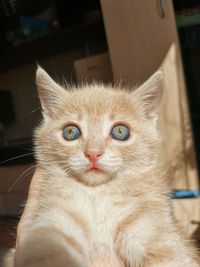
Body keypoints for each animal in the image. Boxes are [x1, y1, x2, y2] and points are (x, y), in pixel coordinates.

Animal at [12, 67, 198, 267]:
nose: (93, 153)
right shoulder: (55, 220)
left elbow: (172, 256)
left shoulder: (152, 228)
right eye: (70, 132)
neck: (99, 195)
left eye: (120, 131)